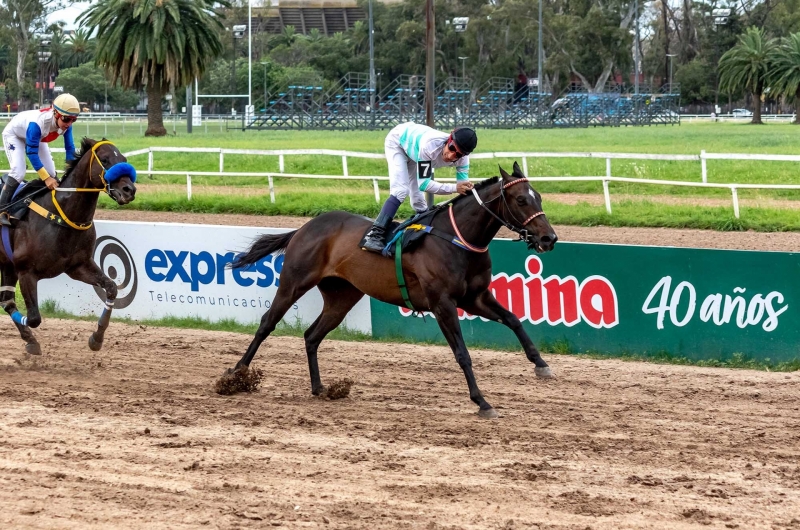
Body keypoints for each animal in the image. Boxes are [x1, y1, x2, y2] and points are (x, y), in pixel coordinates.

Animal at [228, 162, 560, 416]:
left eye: (540, 197)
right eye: (521, 200)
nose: (549, 239)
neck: (456, 238)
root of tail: (304, 227)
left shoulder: (474, 297)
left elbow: (513, 319)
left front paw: (541, 365)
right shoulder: (442, 303)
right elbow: (462, 353)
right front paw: (482, 402)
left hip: (342, 296)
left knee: (312, 335)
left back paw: (320, 387)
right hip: (294, 282)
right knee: (267, 323)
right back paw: (235, 375)